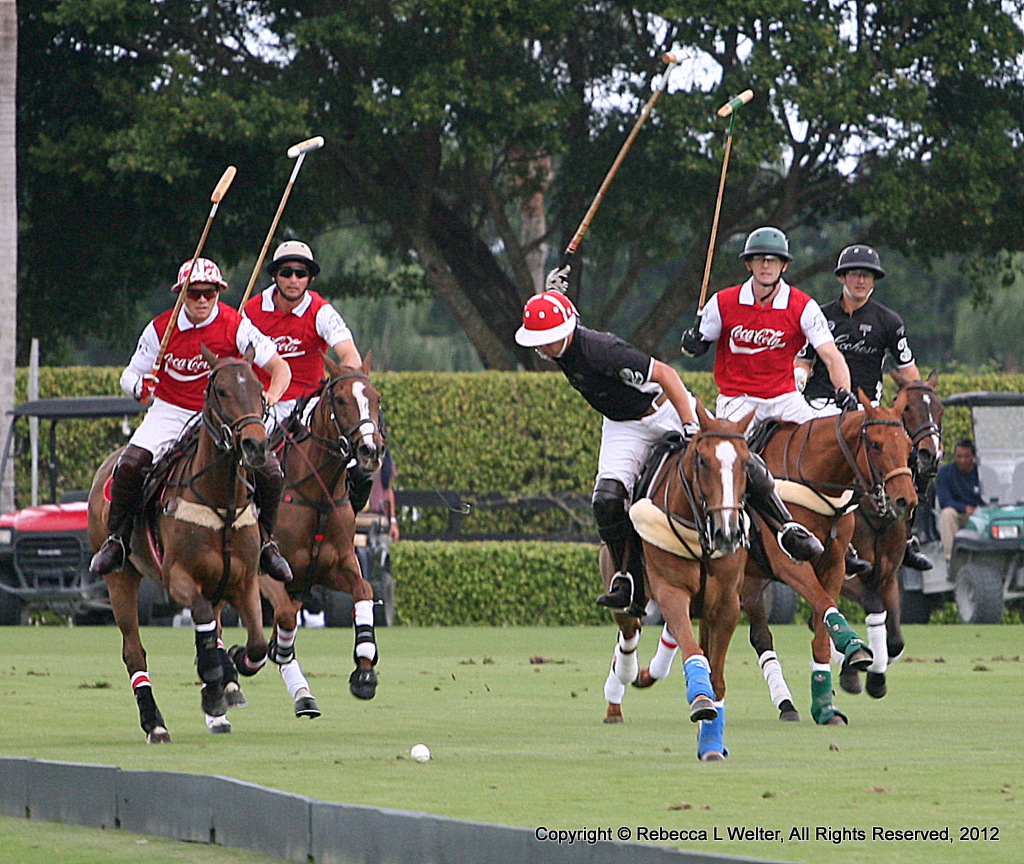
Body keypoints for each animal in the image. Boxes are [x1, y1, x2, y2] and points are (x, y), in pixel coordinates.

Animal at [87, 347, 271, 742]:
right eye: (221, 391)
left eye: (259, 388)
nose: (256, 445)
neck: (222, 502)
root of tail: (109, 461)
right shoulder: (178, 578)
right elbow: (201, 622)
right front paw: (214, 684)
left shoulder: (244, 582)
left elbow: (257, 643)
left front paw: (231, 671)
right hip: (120, 577)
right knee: (134, 651)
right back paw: (154, 722)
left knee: (213, 632)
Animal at [234, 353, 385, 717]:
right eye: (340, 400)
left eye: (376, 399)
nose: (370, 450)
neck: (316, 493)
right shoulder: (265, 571)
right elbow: (285, 621)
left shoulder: (335, 567)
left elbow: (365, 590)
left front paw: (364, 671)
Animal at [600, 403, 753, 760]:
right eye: (703, 460)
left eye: (747, 462)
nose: (728, 534)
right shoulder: (671, 591)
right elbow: (693, 650)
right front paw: (700, 700)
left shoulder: (726, 603)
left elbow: (717, 675)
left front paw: (711, 743)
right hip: (623, 587)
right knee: (629, 631)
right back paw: (623, 682)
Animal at [741, 388, 918, 725]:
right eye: (876, 444)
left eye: (908, 445)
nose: (906, 500)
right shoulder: (789, 562)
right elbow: (825, 606)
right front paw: (855, 650)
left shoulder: (837, 564)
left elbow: (823, 624)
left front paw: (826, 704)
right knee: (759, 637)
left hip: (750, 577)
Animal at [838, 372, 943, 698]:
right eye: (908, 409)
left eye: (940, 409)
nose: (930, 455)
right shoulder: (846, 575)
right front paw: (854, 671)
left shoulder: (887, 574)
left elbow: (895, 639)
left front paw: (875, 672)